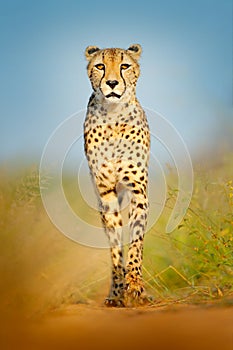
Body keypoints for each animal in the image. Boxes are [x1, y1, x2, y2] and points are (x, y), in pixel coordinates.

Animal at [84, 43, 150, 306]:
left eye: (125, 65)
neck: (113, 116)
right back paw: (115, 293)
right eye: (100, 66)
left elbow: (136, 242)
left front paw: (136, 285)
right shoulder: (107, 194)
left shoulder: (137, 191)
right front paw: (120, 288)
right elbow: (115, 248)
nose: (112, 83)